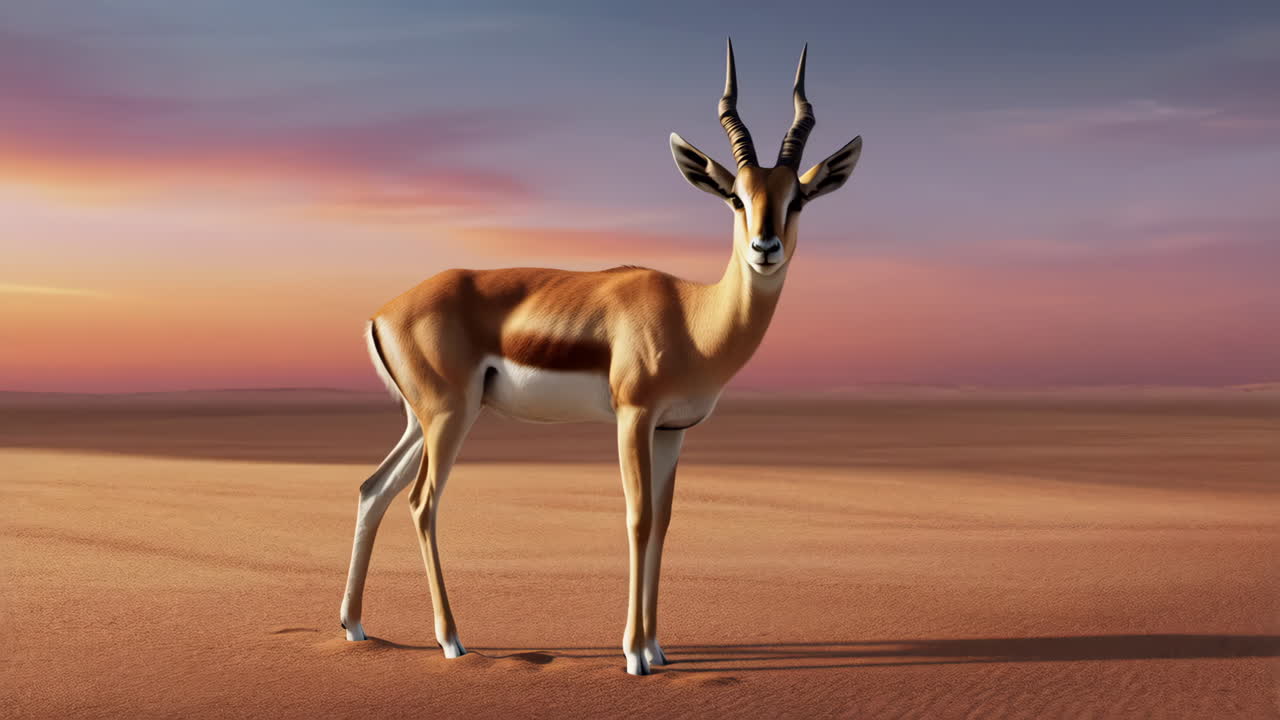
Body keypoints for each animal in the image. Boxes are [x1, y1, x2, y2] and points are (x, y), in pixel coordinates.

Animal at [339, 40, 863, 676]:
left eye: (799, 199)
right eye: (737, 197)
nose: (766, 248)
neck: (694, 317)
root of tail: (382, 313)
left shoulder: (672, 431)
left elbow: (663, 522)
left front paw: (658, 647)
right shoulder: (632, 418)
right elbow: (637, 519)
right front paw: (634, 653)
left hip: (422, 420)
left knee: (373, 489)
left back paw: (355, 627)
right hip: (448, 418)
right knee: (421, 502)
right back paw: (451, 641)